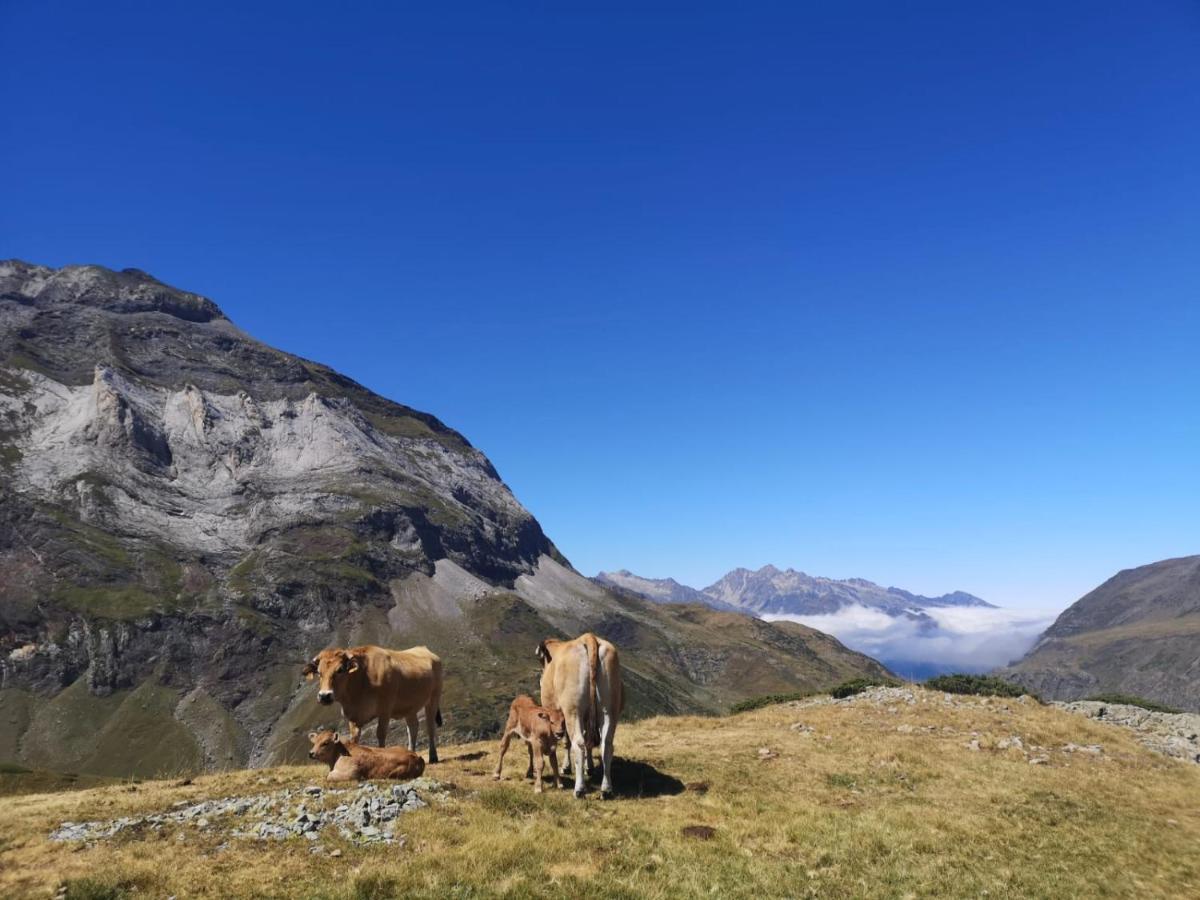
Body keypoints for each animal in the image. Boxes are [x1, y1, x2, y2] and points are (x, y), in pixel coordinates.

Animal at [304, 643, 446, 763]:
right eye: (319, 672)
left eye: (339, 670)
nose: (324, 696)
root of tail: (424, 649)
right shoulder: (352, 716)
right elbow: (354, 739)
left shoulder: (385, 710)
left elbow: (381, 734)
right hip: (409, 707)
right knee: (413, 727)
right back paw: (411, 754)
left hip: (433, 698)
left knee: (430, 727)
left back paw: (433, 757)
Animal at [537, 628, 624, 801]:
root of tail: (589, 638)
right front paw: (589, 768)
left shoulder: (560, 715)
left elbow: (566, 742)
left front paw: (566, 767)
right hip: (609, 709)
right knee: (606, 744)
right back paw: (606, 789)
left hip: (573, 710)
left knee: (578, 743)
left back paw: (579, 789)